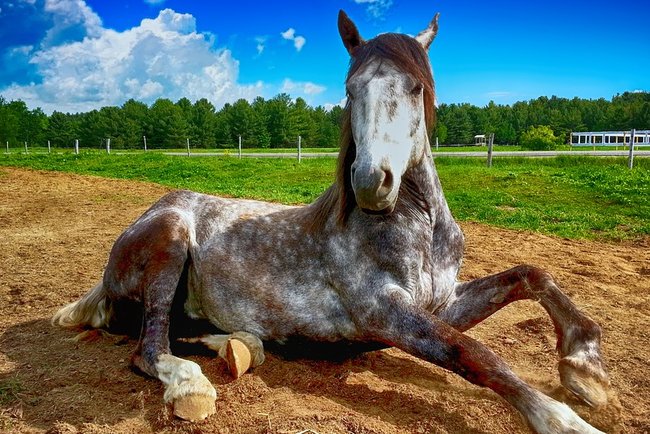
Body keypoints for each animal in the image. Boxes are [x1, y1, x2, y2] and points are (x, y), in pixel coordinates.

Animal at [53, 10, 612, 434]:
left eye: (416, 87)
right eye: (350, 89)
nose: (370, 181)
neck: (419, 229)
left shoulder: (443, 303)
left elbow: (530, 276)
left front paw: (584, 368)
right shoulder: (386, 313)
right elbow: (474, 353)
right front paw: (563, 420)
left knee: (181, 331)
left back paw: (241, 346)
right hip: (169, 241)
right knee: (150, 346)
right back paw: (192, 384)